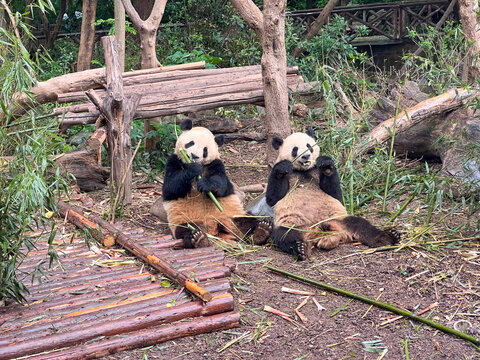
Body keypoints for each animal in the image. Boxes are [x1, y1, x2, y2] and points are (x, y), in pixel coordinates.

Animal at [162, 119, 272, 249]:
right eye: (190, 143)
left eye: (205, 150)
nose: (194, 156)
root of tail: (221, 234)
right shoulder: (174, 160)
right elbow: (172, 186)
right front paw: (193, 169)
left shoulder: (215, 164)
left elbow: (221, 184)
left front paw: (205, 185)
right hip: (186, 220)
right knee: (186, 230)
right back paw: (199, 239)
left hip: (234, 214)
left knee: (248, 221)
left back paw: (262, 231)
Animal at [266, 128, 402, 260]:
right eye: (295, 149)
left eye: (309, 146)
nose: (306, 156)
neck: (303, 171)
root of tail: (317, 232)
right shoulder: (287, 176)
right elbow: (273, 198)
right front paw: (282, 168)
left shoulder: (316, 170)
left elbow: (335, 192)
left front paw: (326, 164)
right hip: (294, 223)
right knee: (284, 235)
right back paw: (300, 249)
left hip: (339, 219)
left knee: (361, 225)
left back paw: (388, 237)